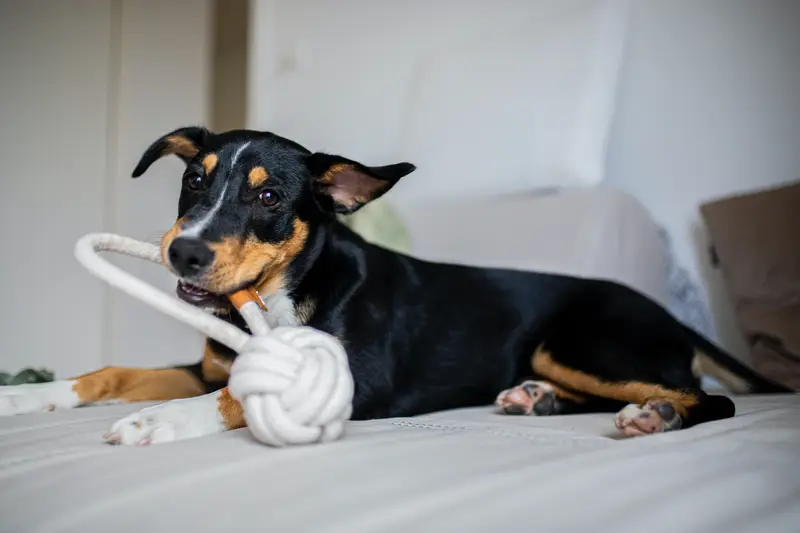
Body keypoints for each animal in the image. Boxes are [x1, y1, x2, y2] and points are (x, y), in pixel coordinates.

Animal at [0, 125, 788, 444]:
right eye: (195, 179)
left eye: (267, 197)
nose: (183, 252)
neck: (287, 290)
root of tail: (670, 316)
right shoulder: (206, 365)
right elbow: (111, 372)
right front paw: (27, 396)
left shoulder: (360, 381)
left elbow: (237, 396)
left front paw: (157, 423)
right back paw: (535, 400)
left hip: (578, 340)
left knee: (705, 397)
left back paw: (654, 416)